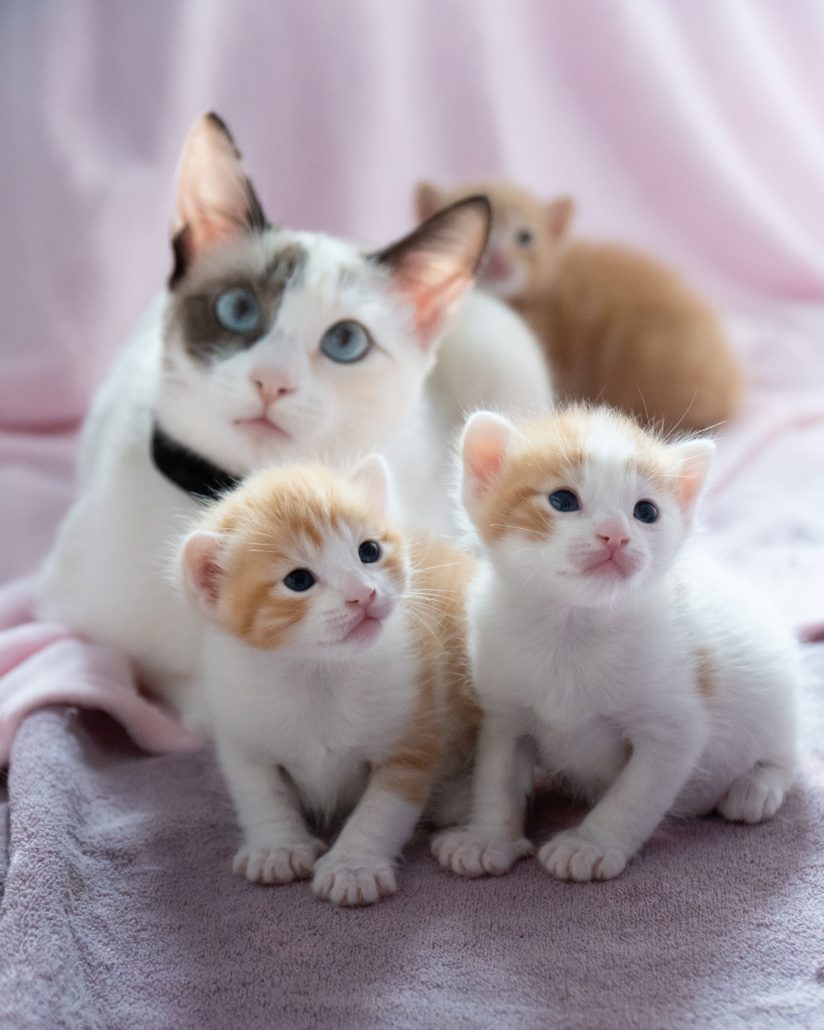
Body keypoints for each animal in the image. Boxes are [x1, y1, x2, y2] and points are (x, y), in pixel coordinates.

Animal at [179, 461, 475, 910]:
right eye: (298, 580)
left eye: (368, 551)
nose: (363, 594)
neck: (320, 673)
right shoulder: (241, 734)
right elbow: (259, 792)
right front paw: (277, 847)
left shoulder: (413, 731)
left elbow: (382, 810)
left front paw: (352, 866)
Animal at [434, 405, 803, 881]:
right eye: (562, 501)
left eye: (646, 511)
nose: (615, 534)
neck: (572, 631)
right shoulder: (503, 712)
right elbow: (496, 775)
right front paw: (486, 839)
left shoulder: (674, 727)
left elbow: (635, 795)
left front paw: (590, 845)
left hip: (778, 693)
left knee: (787, 751)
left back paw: (756, 786)